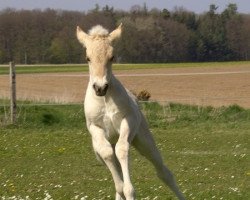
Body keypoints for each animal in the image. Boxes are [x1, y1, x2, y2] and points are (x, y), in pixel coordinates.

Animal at [76, 24, 186, 199]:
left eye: (112, 57)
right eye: (88, 58)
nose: (100, 88)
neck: (105, 99)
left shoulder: (128, 120)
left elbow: (122, 149)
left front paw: (129, 191)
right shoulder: (95, 128)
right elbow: (108, 154)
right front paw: (122, 188)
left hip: (144, 141)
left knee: (164, 173)